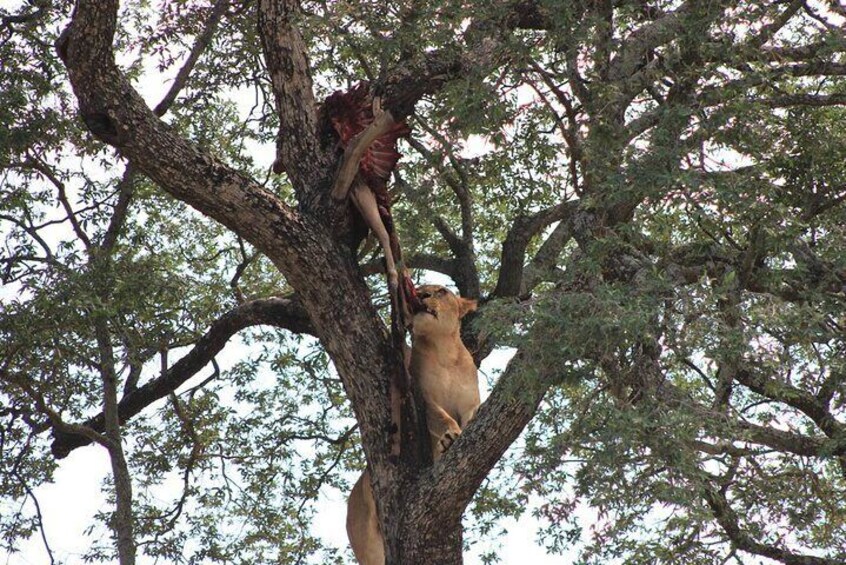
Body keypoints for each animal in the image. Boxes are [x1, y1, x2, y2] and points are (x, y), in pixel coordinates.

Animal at [344, 286, 476, 564]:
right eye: (422, 288)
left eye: (442, 291)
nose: (423, 295)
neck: (444, 352)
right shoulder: (422, 399)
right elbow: (442, 418)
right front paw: (450, 436)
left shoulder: (471, 402)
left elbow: (472, 417)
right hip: (368, 546)